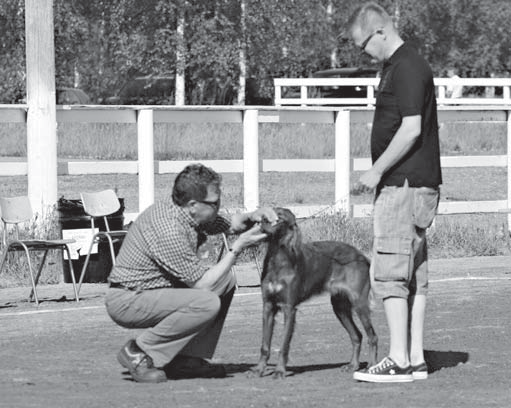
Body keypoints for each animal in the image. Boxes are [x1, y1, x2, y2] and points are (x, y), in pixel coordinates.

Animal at [254, 209, 378, 378]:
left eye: (280, 217)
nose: (262, 220)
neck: (277, 260)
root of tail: (362, 256)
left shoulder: (289, 308)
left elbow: (284, 345)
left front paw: (279, 371)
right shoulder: (268, 306)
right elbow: (265, 345)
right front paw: (259, 369)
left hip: (359, 303)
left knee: (372, 336)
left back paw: (372, 366)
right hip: (339, 306)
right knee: (356, 335)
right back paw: (353, 365)